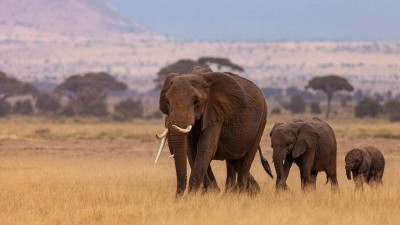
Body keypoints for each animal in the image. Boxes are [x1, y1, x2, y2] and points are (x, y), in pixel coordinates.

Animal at [155, 66, 274, 196]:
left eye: (196, 101)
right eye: (168, 102)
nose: (178, 197)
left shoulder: (215, 112)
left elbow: (205, 148)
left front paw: (193, 196)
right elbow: (192, 150)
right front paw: (209, 193)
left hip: (262, 120)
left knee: (246, 161)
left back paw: (242, 193)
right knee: (234, 161)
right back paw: (251, 191)